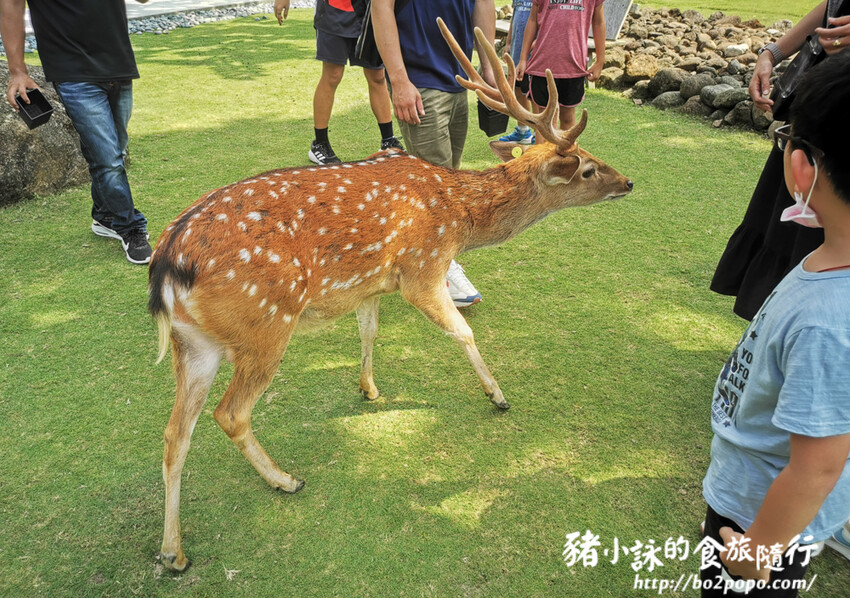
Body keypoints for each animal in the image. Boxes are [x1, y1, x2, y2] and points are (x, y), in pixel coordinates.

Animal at [148, 19, 633, 571]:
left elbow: (369, 331)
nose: (629, 181)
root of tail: (166, 266)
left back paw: (174, 551)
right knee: (230, 414)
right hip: (265, 324)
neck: (459, 217)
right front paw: (498, 395)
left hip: (194, 344)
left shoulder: (370, 282)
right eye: (588, 167)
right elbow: (462, 333)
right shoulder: (422, 268)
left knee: (174, 434)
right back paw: (285, 480)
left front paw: (369, 389)